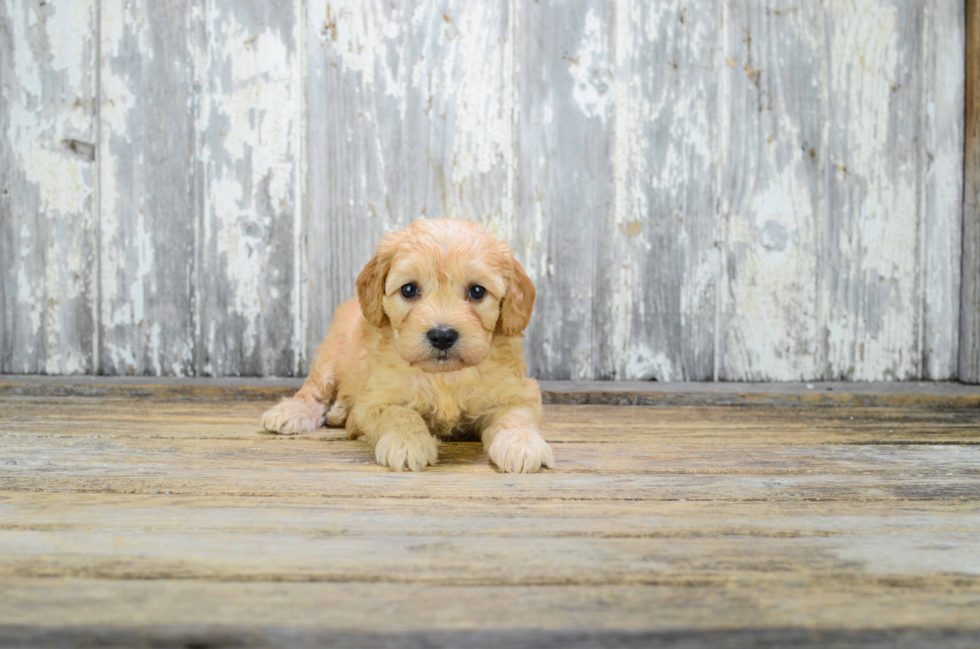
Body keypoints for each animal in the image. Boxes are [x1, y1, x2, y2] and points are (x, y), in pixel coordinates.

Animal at [260, 218, 552, 470]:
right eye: (409, 289)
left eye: (477, 291)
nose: (442, 335)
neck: (445, 376)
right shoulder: (373, 402)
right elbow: (399, 414)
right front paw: (407, 443)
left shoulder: (517, 392)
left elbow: (516, 416)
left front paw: (521, 444)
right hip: (330, 354)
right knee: (314, 390)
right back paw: (291, 413)